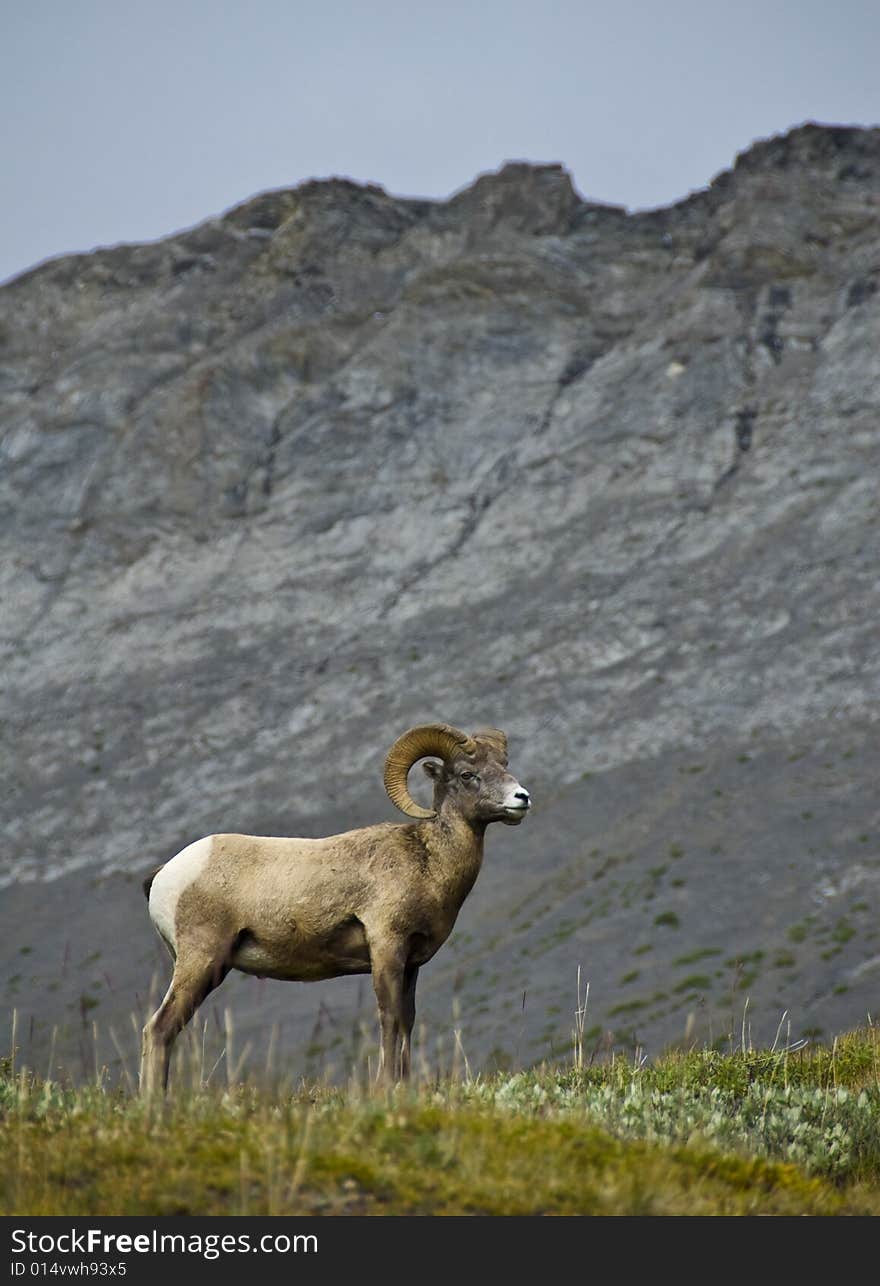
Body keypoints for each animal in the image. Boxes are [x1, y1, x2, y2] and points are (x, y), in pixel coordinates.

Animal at [138, 725, 530, 1095]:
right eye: (467, 774)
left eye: (504, 764)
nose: (522, 798)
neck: (428, 861)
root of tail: (167, 873)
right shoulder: (386, 950)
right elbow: (390, 1018)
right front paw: (385, 1087)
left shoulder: (411, 964)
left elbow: (407, 1020)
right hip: (201, 962)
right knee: (159, 1028)